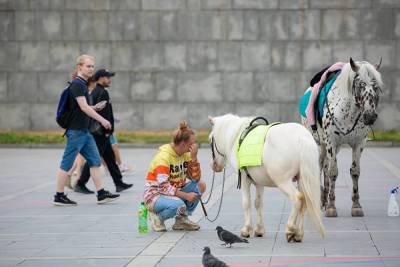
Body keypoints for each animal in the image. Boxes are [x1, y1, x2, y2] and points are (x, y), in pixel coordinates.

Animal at [209, 114, 324, 244]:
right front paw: (259, 230)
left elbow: (246, 203)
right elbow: (258, 203)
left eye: (210, 139)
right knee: (305, 202)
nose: (214, 166)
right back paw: (298, 234)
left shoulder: (244, 179)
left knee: (297, 198)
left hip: (282, 180)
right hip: (302, 180)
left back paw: (290, 229)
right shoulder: (259, 182)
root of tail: (301, 138)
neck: (237, 137)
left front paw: (246, 230)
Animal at [304, 58, 384, 218]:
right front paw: (331, 207)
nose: (370, 116)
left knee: (325, 166)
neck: (348, 111)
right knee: (320, 166)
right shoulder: (331, 142)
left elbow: (355, 171)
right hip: (319, 144)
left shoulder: (359, 143)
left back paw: (324, 199)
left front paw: (356, 206)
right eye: (360, 84)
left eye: (375, 86)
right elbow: (333, 172)